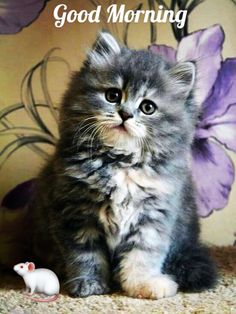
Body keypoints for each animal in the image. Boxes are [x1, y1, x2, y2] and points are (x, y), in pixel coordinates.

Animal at [31, 31, 218, 300]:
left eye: (148, 107)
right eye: (113, 96)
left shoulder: (153, 217)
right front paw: (88, 285)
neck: (122, 162)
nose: (125, 114)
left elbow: (141, 257)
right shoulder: (75, 214)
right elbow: (85, 256)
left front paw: (143, 285)